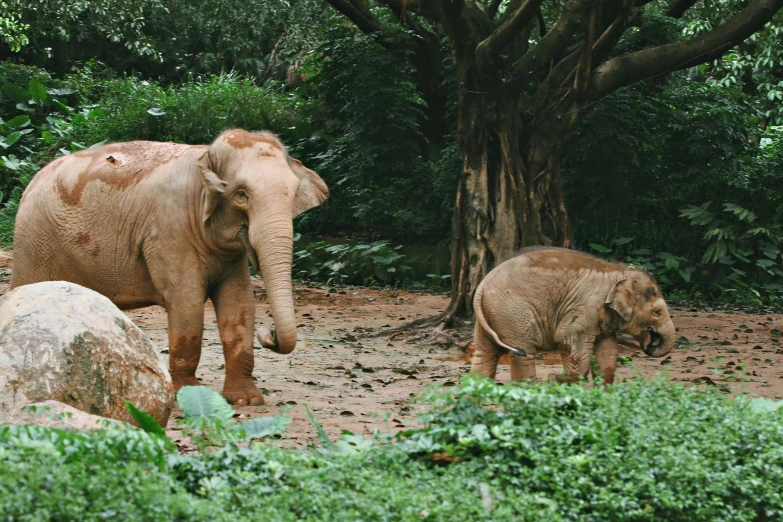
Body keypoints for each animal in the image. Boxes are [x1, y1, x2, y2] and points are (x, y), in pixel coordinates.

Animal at [9, 128, 328, 404]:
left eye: (294, 194)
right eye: (241, 194)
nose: (268, 334)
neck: (204, 158)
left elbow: (239, 303)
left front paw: (245, 400)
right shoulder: (168, 231)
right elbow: (187, 301)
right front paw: (188, 394)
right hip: (34, 242)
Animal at [474, 246, 676, 380]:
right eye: (657, 312)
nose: (650, 343)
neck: (618, 272)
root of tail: (482, 286)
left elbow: (607, 352)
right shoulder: (584, 309)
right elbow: (569, 344)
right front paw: (561, 382)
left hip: (493, 315)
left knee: (484, 352)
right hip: (512, 313)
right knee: (523, 352)